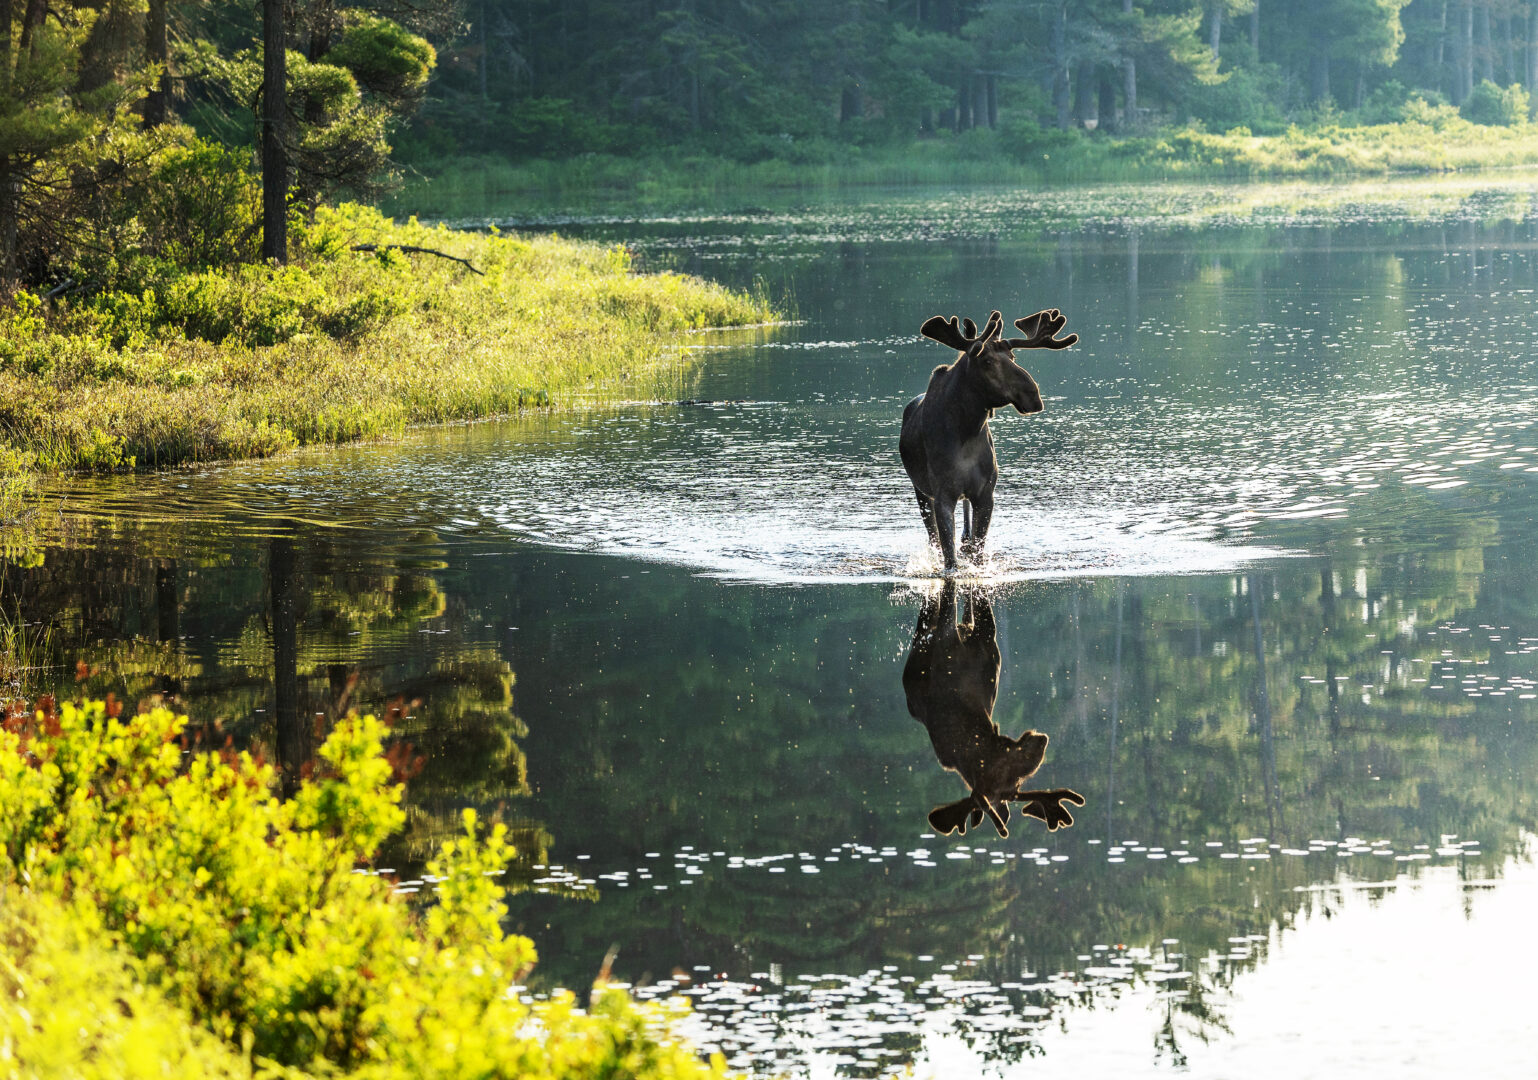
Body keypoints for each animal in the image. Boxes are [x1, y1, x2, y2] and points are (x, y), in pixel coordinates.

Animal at [899, 308, 1077, 573]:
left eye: (1013, 356)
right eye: (987, 362)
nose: (1033, 395)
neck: (967, 430)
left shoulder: (985, 494)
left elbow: (978, 551)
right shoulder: (942, 495)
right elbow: (949, 557)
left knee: (965, 536)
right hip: (920, 492)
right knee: (933, 539)